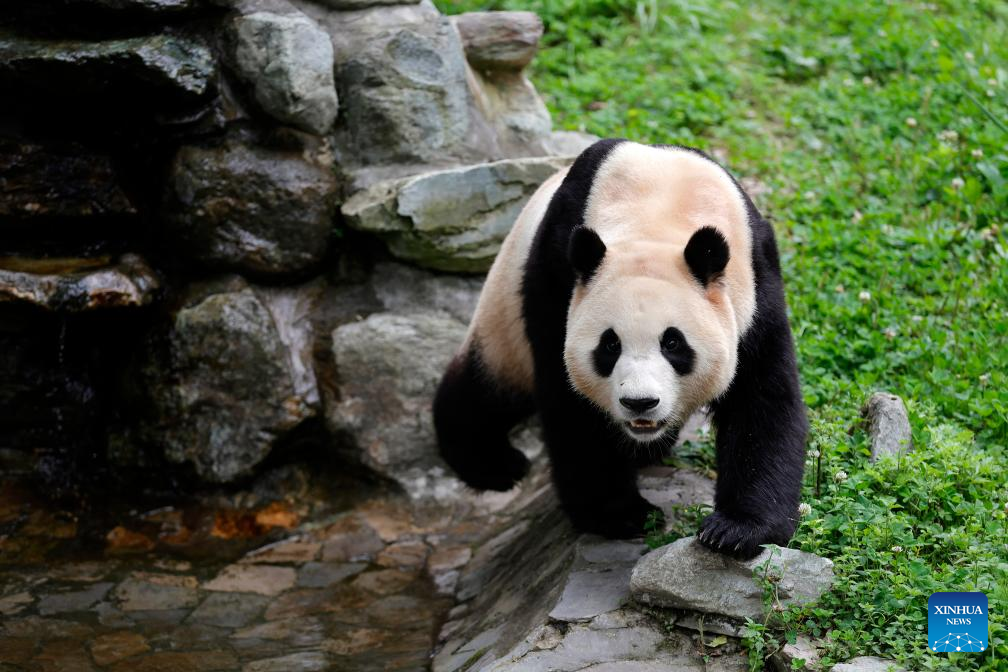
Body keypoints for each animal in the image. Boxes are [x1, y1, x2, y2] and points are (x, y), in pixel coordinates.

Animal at [431, 139, 802, 560]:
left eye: (673, 343)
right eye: (610, 345)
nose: (640, 403)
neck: (660, 208)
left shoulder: (756, 284)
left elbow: (761, 397)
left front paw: (735, 530)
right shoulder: (557, 274)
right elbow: (570, 402)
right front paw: (620, 514)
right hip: (505, 312)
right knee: (487, 391)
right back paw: (495, 465)